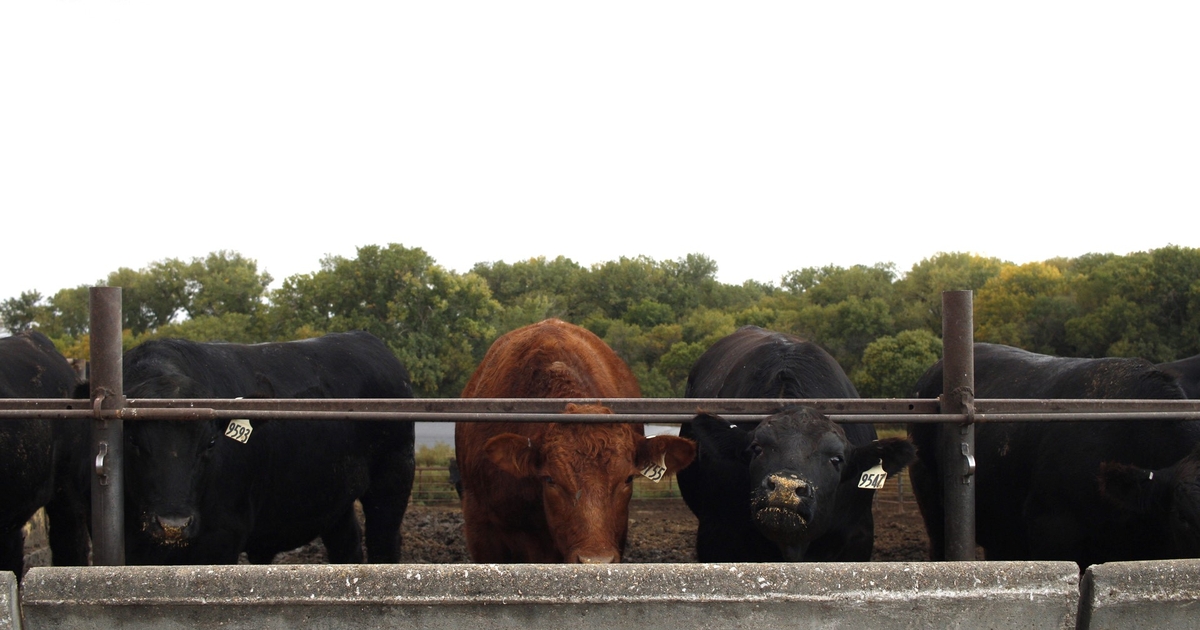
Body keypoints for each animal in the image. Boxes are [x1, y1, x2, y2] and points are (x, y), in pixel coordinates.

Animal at [121, 331, 412, 561]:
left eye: (211, 443)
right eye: (132, 440)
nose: (173, 525)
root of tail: (365, 338)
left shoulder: (223, 535)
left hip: (394, 475)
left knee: (383, 541)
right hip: (335, 496)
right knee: (347, 543)